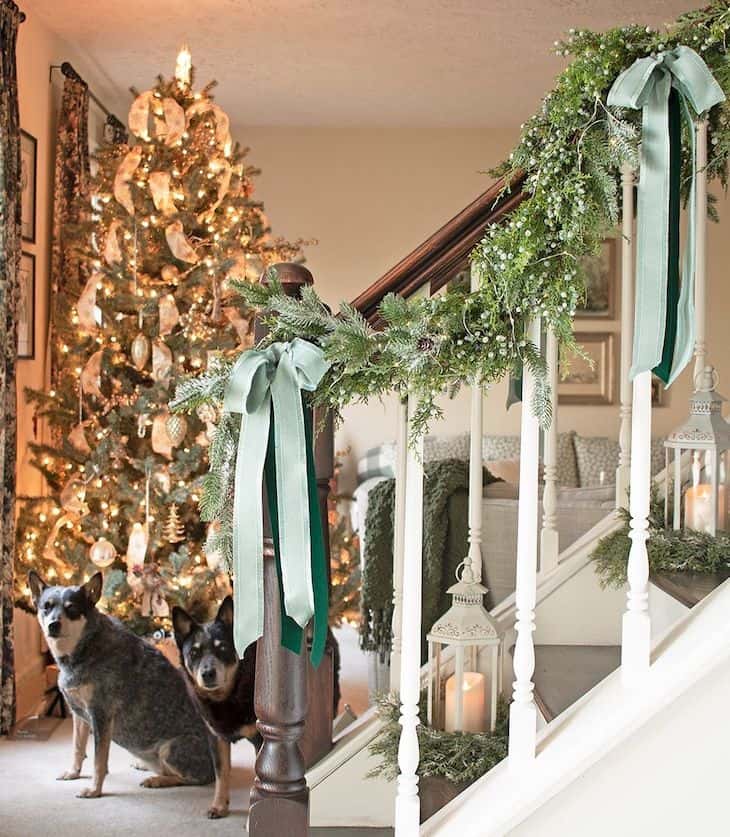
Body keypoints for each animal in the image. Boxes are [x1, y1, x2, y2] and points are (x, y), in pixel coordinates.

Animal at [29, 572, 216, 800]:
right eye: (46, 607)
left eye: (71, 608)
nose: (53, 624)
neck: (85, 648)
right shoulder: (78, 714)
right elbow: (77, 747)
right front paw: (73, 772)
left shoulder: (100, 714)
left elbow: (98, 760)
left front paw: (94, 790)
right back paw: (145, 766)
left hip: (170, 748)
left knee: (194, 778)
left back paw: (157, 780)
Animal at [173, 596, 258, 816]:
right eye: (194, 652)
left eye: (223, 648)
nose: (208, 673)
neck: (227, 699)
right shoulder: (216, 738)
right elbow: (221, 773)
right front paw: (219, 806)